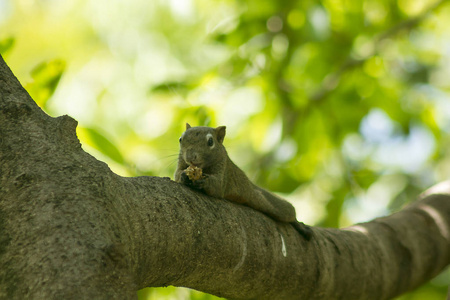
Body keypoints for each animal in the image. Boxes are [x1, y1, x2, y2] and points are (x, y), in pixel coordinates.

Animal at [174, 123, 312, 240]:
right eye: (180, 139)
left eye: (210, 141)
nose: (190, 157)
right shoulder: (181, 161)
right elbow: (177, 175)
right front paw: (184, 176)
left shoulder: (224, 169)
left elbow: (217, 186)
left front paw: (204, 181)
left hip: (274, 205)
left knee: (287, 212)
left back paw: (299, 224)